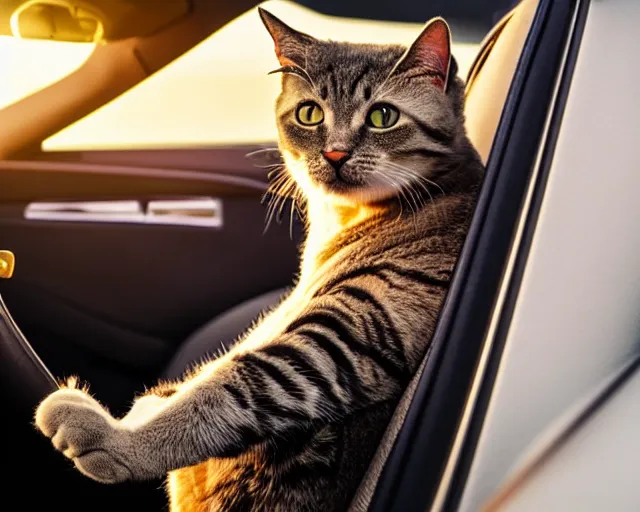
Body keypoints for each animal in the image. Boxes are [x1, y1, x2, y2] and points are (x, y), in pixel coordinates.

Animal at [33, 9, 480, 512]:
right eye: (310, 113)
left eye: (383, 116)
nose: (335, 153)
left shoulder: (342, 339)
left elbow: (228, 388)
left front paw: (119, 439)